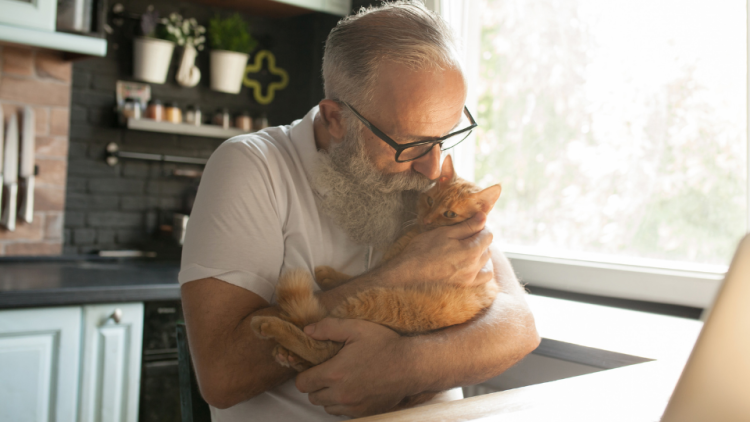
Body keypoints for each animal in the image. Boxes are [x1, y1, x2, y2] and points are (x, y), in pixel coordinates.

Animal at [250, 155, 502, 408]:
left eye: (449, 214)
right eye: (430, 200)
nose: (427, 218)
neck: (419, 232)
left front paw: (328, 275)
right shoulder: (389, 261)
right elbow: (361, 275)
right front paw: (330, 276)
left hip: (368, 302)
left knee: (322, 349)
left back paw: (270, 327)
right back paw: (289, 356)